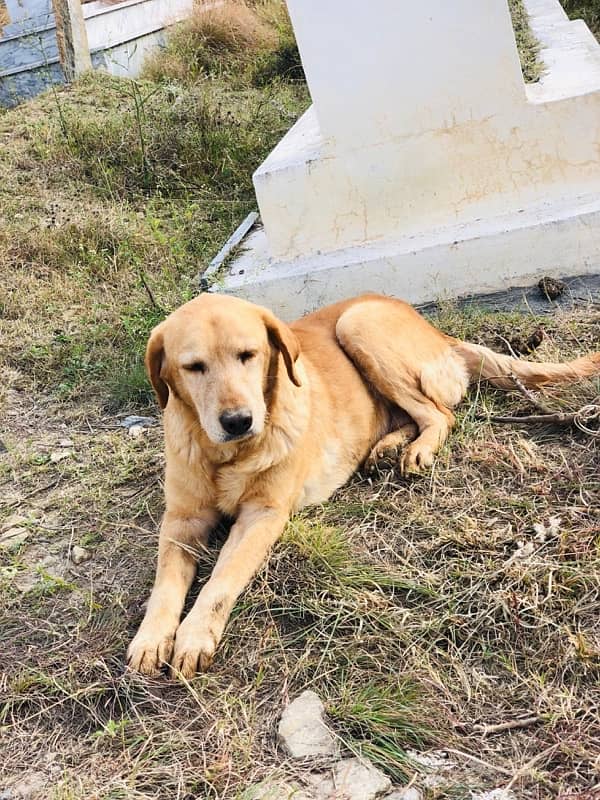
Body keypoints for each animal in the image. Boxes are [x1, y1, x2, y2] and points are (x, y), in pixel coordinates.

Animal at [127, 294, 600, 676]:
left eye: (249, 355)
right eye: (193, 367)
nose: (239, 421)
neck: (227, 456)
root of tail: (441, 334)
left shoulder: (262, 516)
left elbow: (220, 580)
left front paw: (193, 636)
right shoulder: (182, 520)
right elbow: (166, 583)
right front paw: (151, 638)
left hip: (357, 323)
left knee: (439, 414)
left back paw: (416, 450)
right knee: (414, 414)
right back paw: (387, 447)